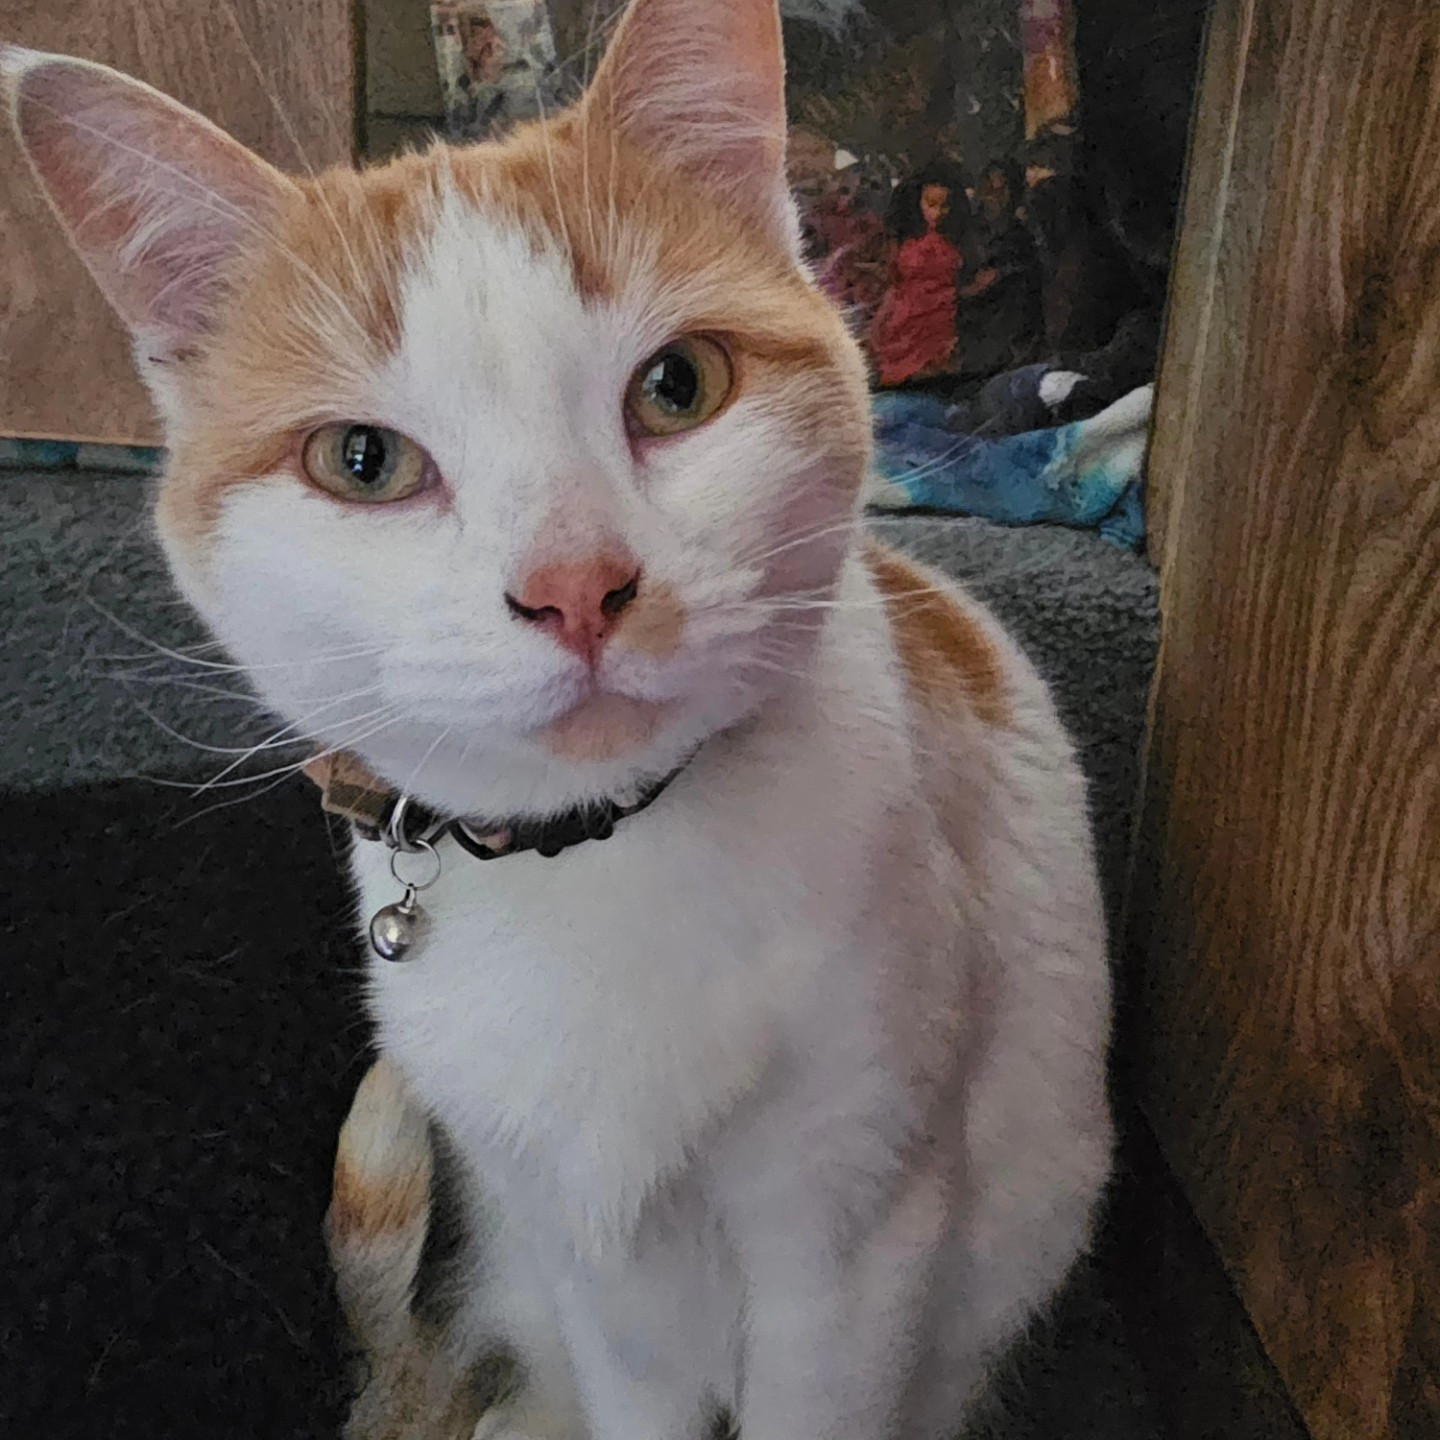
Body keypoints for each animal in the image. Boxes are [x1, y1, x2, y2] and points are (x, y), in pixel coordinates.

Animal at [5, 0, 1111, 1434]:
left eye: (678, 385)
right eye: (363, 463)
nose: (575, 587)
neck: (597, 856)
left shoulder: (856, 1236)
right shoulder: (590, 1263)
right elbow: (633, 1378)